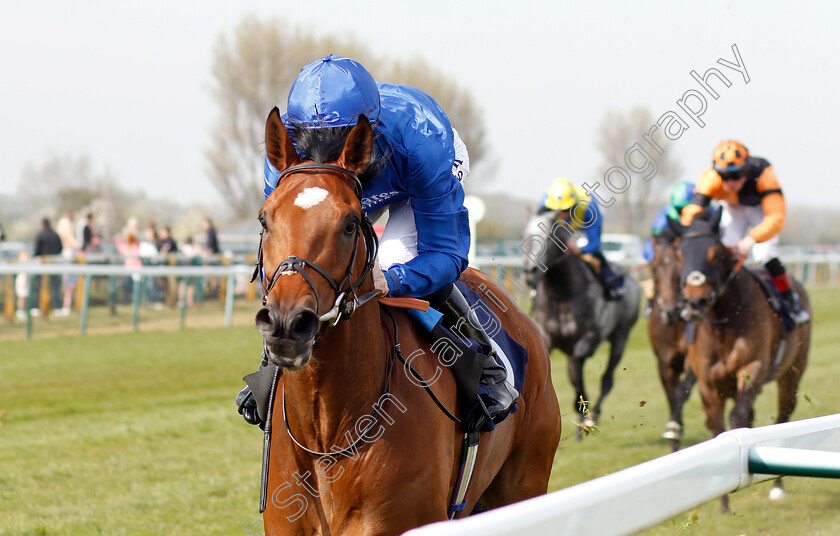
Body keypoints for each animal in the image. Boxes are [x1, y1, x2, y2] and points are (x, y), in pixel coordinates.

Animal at [520, 207, 640, 438]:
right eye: (525, 234)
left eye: (549, 236)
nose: (529, 272)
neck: (561, 293)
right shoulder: (546, 338)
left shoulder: (589, 338)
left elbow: (576, 371)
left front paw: (585, 416)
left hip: (621, 335)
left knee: (606, 380)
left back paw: (593, 417)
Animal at [668, 211, 808, 508]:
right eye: (679, 254)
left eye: (714, 254)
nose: (694, 303)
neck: (723, 321)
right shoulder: (708, 382)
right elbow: (717, 425)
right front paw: (723, 503)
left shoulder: (752, 369)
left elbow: (739, 417)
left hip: (791, 373)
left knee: (783, 418)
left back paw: (778, 486)